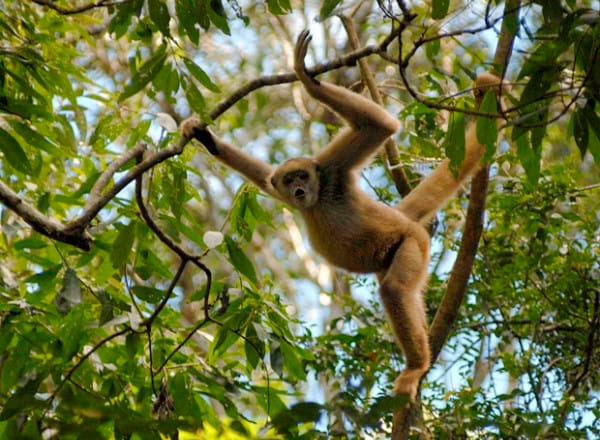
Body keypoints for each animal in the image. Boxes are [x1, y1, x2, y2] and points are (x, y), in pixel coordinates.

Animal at [182, 30, 502, 402]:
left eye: (302, 176)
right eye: (289, 180)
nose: (298, 189)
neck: (317, 200)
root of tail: (404, 220)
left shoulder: (330, 170)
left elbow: (382, 126)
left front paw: (305, 75)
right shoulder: (285, 186)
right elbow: (262, 177)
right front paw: (207, 139)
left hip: (413, 241)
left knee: (394, 289)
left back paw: (416, 366)